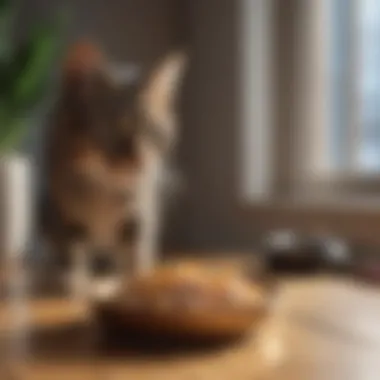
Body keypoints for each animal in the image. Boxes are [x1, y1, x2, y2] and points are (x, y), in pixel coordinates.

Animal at [40, 40, 187, 296]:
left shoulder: (140, 213)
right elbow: (72, 253)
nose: (140, 160)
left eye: (155, 132)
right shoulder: (62, 213)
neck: (103, 187)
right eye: (118, 130)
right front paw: (75, 285)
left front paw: (137, 285)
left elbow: (135, 256)